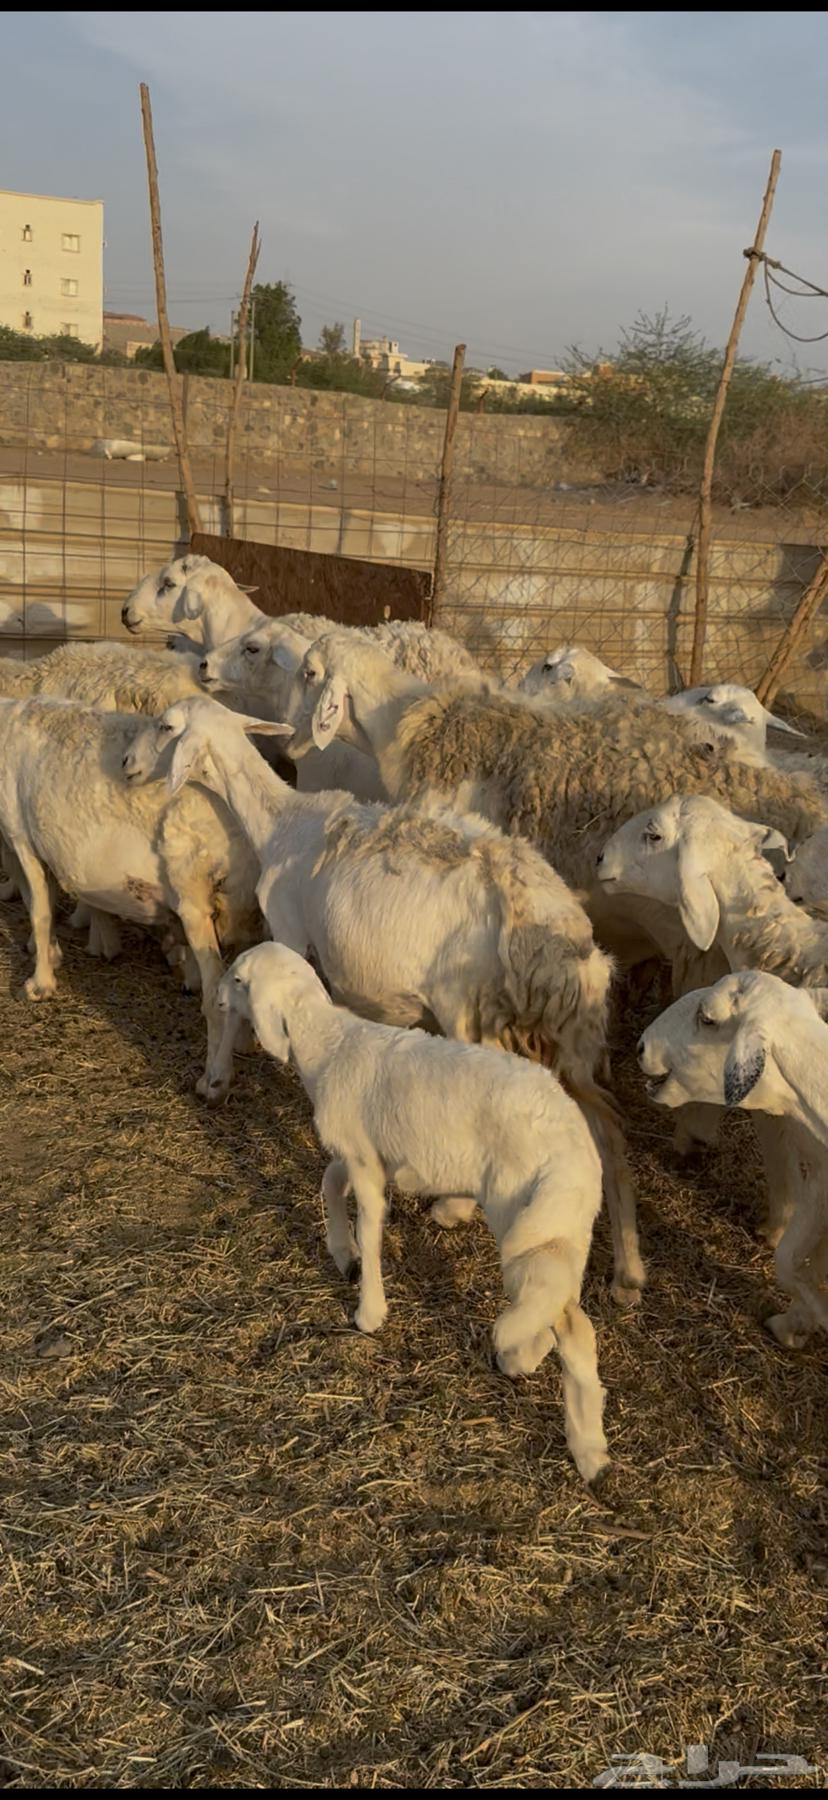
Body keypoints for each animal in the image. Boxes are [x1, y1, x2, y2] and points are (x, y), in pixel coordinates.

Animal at [0, 695, 262, 1088]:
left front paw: (40, 982)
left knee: (218, 1002)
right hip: (245, 911)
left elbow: (40, 909)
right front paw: (51, 955)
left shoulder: (20, 835)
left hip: (196, 901)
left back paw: (214, 1078)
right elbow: (40, 899)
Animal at [123, 694, 645, 1303]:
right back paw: (628, 1271)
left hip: (471, 1010)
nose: (128, 764)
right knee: (609, 1128)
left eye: (165, 726)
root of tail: (551, 923)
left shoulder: (289, 932)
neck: (281, 821)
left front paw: (216, 1078)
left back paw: (455, 1208)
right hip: (573, 1031)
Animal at [218, 940, 610, 1485]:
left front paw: (369, 1309)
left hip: (523, 1217)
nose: (215, 997)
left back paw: (529, 1370)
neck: (329, 1044)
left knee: (562, 1319)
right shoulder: (361, 1152)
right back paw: (587, 1442)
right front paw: (341, 1252)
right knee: (570, 1318)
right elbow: (329, 1183)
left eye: (238, 980)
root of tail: (575, 1147)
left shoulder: (365, 1164)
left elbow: (370, 1225)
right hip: (565, 1227)